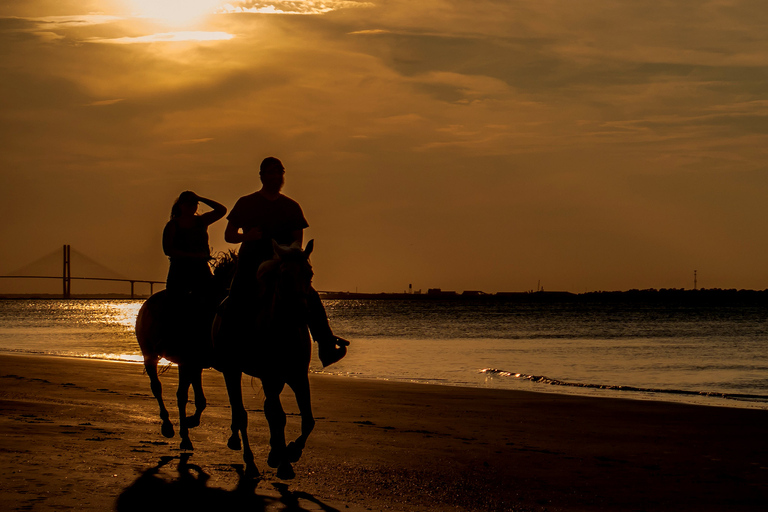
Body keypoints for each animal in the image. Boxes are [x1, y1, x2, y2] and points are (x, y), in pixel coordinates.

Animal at [135, 254, 236, 450]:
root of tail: (145, 304)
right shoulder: (186, 361)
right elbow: (182, 396)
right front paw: (184, 436)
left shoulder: (200, 364)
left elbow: (199, 399)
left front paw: (190, 423)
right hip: (149, 354)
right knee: (156, 387)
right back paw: (167, 425)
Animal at [213, 240, 318, 480]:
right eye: (285, 275)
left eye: (309, 273)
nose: (302, 313)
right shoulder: (269, 376)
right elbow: (278, 417)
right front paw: (285, 463)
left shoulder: (298, 376)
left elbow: (307, 420)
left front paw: (291, 452)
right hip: (232, 370)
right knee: (240, 412)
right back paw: (250, 460)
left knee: (267, 409)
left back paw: (273, 452)